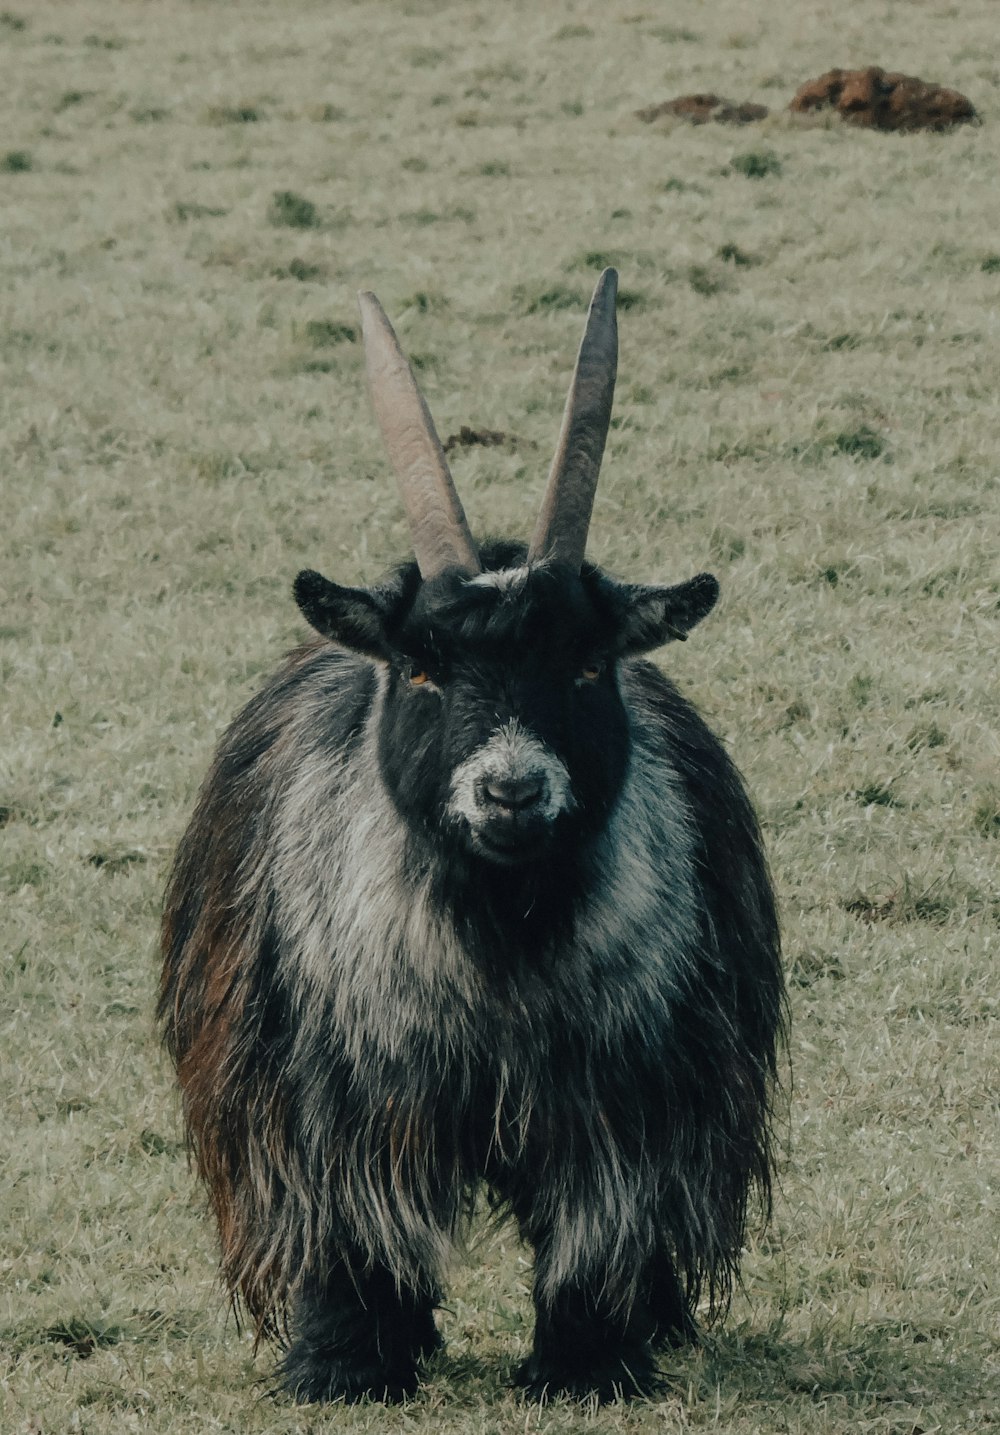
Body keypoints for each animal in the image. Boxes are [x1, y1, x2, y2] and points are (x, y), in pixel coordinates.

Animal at [159, 266, 786, 1400]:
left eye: (586, 662)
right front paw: (344, 1365)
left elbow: (599, 1225)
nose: (511, 790)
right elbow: (356, 1224)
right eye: (420, 667)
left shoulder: (620, 1103)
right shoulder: (336, 1100)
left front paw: (587, 1364)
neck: (498, 950)